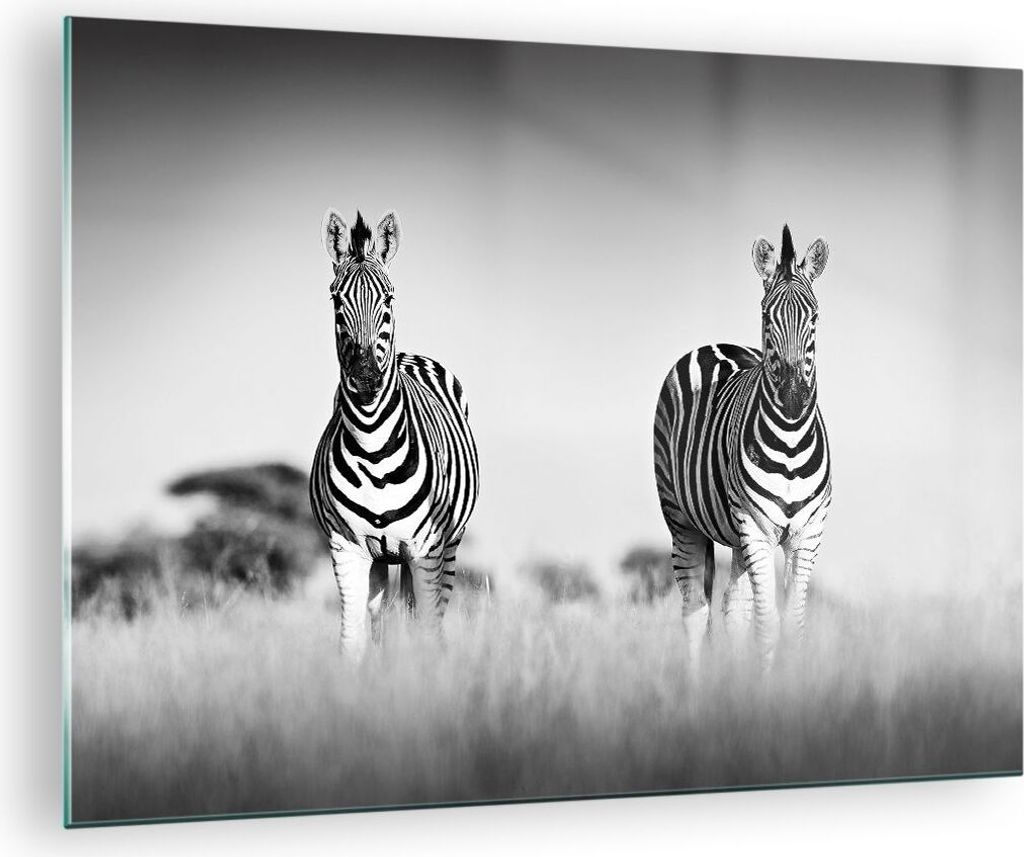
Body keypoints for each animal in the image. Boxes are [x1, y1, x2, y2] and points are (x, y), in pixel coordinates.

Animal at [310, 208, 480, 658]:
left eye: (388, 299)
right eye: (336, 300)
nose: (366, 377)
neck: (373, 447)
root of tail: (409, 355)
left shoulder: (427, 550)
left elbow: (427, 631)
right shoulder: (347, 549)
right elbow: (352, 641)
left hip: (447, 549)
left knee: (427, 618)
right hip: (383, 558)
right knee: (383, 618)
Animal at [653, 225, 831, 669]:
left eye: (815, 317)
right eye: (767, 316)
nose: (792, 398)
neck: (790, 442)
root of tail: (715, 344)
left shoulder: (807, 534)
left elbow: (792, 627)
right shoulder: (756, 527)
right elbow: (766, 627)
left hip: (735, 537)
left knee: (733, 610)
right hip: (681, 518)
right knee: (695, 612)